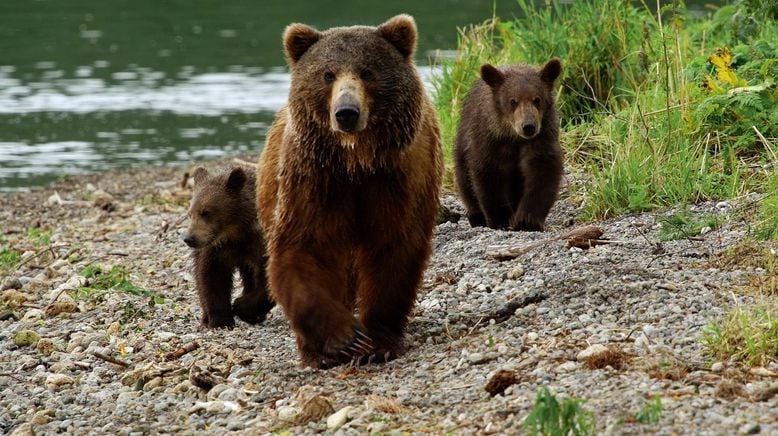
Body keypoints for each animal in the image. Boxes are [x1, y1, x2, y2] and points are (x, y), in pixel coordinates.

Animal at [258, 14, 442, 368]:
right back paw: (314, 352)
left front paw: (378, 342)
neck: (356, 161)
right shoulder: (315, 179)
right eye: (327, 74)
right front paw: (345, 337)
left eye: (367, 71)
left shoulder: (398, 178)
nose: (346, 112)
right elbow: (305, 248)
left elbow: (393, 249)